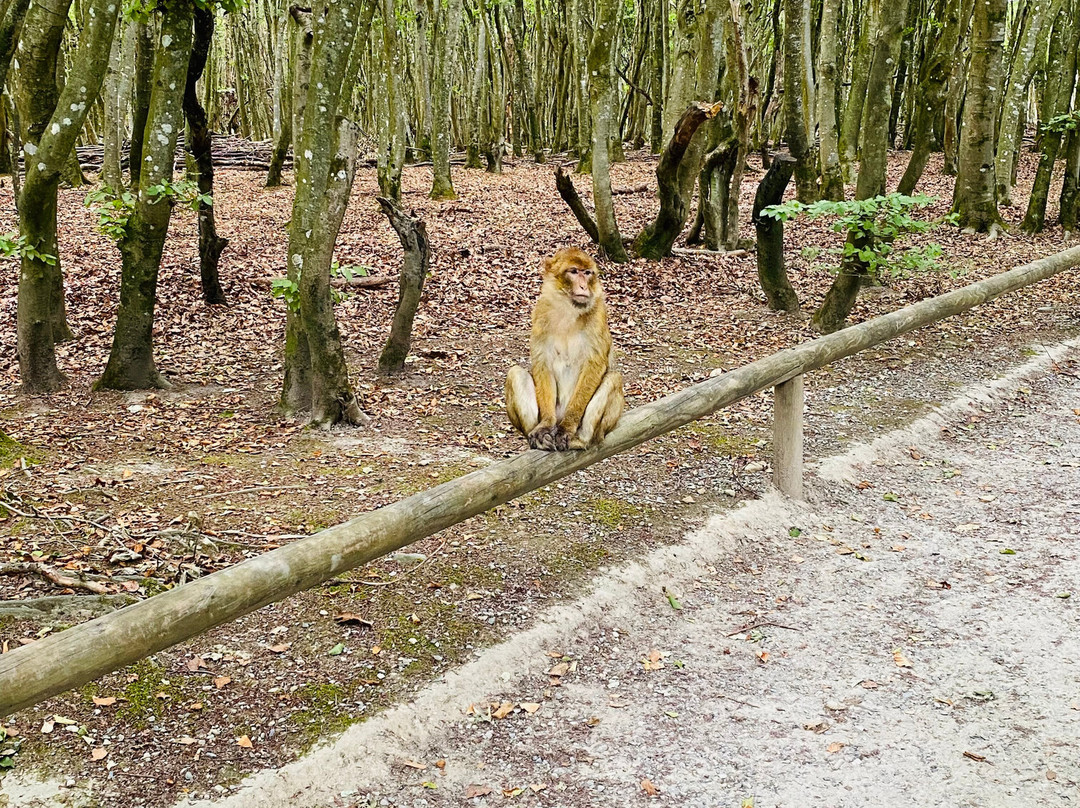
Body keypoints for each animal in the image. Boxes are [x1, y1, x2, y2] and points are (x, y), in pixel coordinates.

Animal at [505, 247, 625, 451]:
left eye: (587, 273)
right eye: (574, 271)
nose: (584, 287)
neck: (568, 310)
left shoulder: (598, 315)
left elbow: (595, 365)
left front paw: (567, 427)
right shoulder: (540, 314)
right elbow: (542, 364)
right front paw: (544, 427)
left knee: (613, 379)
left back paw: (579, 440)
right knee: (515, 373)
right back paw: (538, 440)